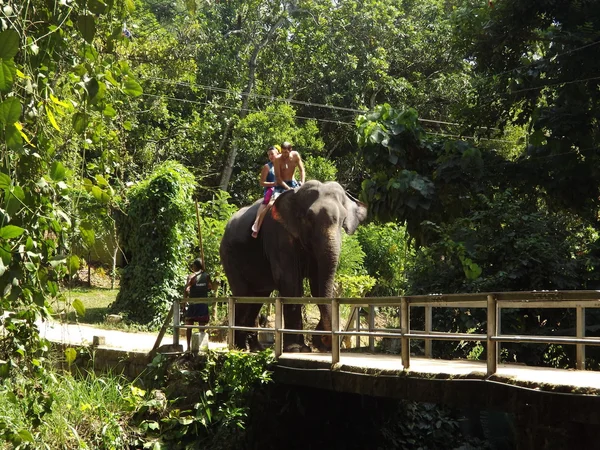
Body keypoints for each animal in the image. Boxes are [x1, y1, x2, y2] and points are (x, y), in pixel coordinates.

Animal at [220, 179, 368, 352]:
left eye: (343, 219)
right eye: (309, 218)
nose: (323, 340)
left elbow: (317, 284)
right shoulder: (278, 234)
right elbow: (290, 282)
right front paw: (297, 349)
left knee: (258, 297)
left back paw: (255, 348)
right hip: (229, 256)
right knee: (243, 295)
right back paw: (239, 348)